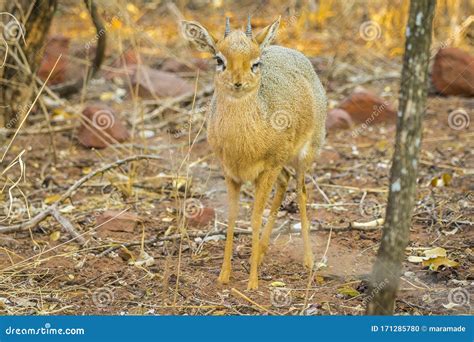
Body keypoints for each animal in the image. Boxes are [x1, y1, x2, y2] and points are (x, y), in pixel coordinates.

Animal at [181, 15, 326, 288]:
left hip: (304, 155)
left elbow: (255, 217)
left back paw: (309, 260)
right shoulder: (231, 173)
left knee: (301, 191)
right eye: (219, 59)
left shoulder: (268, 169)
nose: (238, 82)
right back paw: (261, 253)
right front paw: (224, 275)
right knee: (285, 181)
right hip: (280, 167)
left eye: (255, 62)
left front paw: (252, 283)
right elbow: (232, 217)